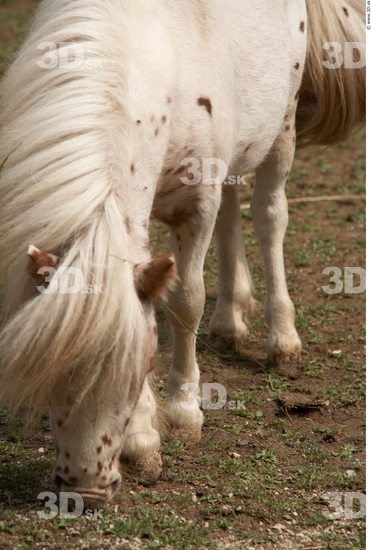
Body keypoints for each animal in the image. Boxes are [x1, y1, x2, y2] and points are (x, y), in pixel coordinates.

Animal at [0, 0, 366, 508]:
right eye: (51, 374)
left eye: (136, 371)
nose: (86, 490)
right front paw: (143, 439)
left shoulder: (195, 205)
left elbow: (186, 302)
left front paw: (183, 411)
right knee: (233, 209)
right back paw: (230, 318)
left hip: (282, 125)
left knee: (269, 215)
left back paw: (283, 340)